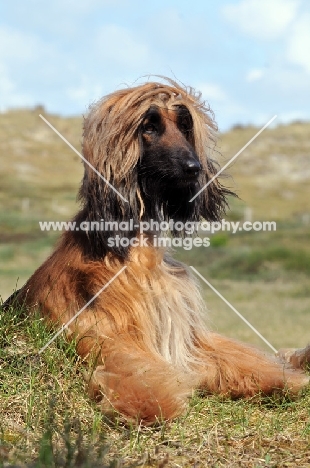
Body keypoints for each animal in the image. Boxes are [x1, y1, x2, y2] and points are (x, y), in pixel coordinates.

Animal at [3, 77, 310, 424]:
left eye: (185, 125)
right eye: (149, 126)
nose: (194, 168)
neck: (132, 250)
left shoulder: (188, 336)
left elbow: (238, 356)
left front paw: (283, 377)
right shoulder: (105, 337)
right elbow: (133, 369)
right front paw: (151, 403)